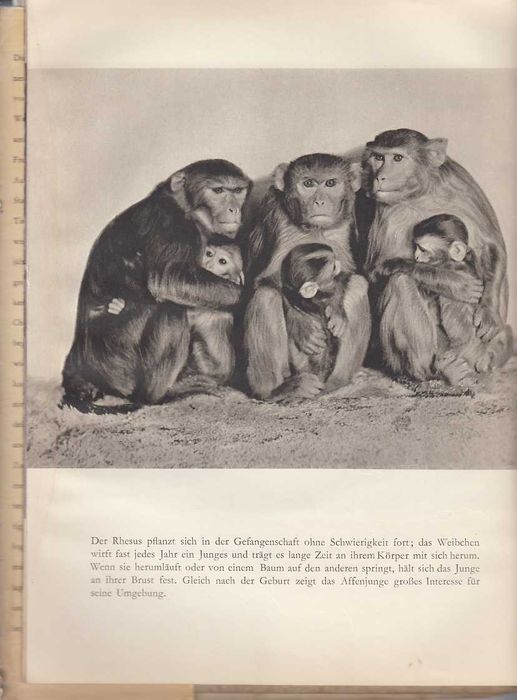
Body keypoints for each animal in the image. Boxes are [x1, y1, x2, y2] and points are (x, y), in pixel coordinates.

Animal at [62, 159, 252, 410]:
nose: (234, 209)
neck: (181, 206)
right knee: (172, 309)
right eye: (218, 190)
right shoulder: (172, 224)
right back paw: (159, 395)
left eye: (237, 191)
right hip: (118, 365)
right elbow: (168, 280)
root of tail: (78, 358)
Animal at [243, 153, 371, 401]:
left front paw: (337, 309)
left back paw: (339, 382)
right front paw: (300, 324)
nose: (319, 201)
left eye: (330, 183)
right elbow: (264, 280)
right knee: (265, 297)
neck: (314, 229)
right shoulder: (276, 217)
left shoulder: (346, 222)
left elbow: (348, 273)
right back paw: (276, 390)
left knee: (359, 285)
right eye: (308, 183)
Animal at [357, 128, 512, 382]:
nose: (379, 177)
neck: (422, 193)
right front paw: (456, 284)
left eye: (397, 158)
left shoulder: (462, 188)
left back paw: (495, 350)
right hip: (437, 348)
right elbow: (377, 270)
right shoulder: (385, 210)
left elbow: (491, 245)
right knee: (400, 282)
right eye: (378, 157)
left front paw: (488, 311)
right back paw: (434, 371)